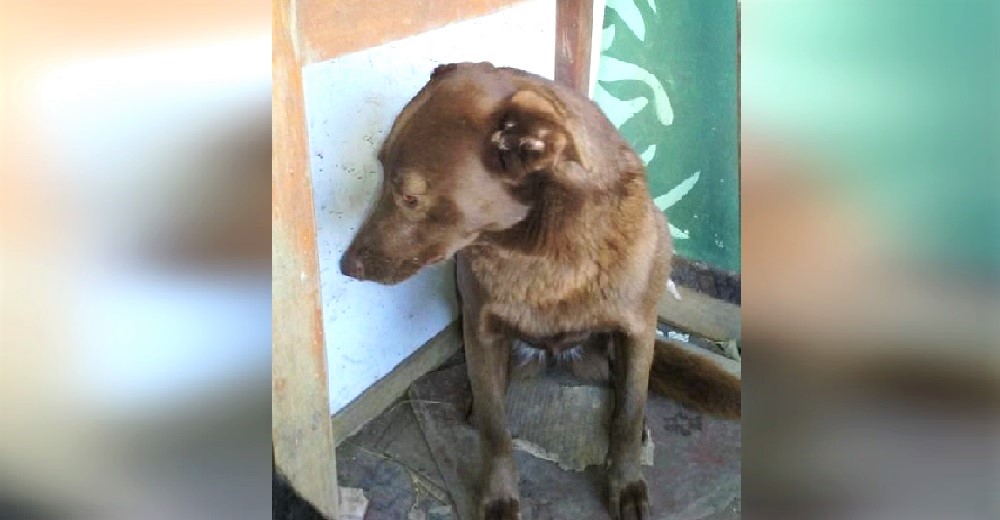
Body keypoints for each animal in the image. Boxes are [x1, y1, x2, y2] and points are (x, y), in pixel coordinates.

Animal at [340, 63, 740, 516]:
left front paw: (626, 484)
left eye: (409, 196)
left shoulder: (638, 330)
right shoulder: (482, 332)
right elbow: (495, 429)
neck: (541, 249)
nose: (344, 266)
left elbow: (628, 413)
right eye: (379, 171)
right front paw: (499, 497)